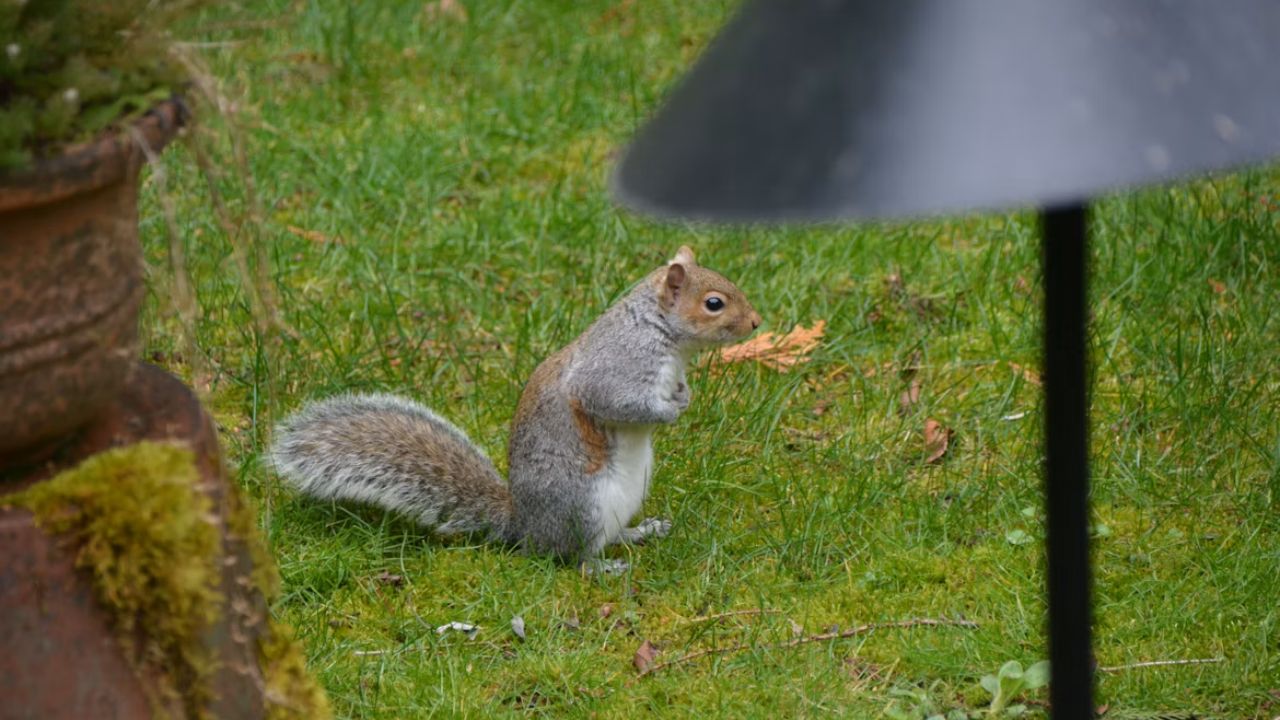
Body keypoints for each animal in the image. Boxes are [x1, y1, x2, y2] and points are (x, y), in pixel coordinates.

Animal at [270, 246, 761, 572]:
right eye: (713, 303)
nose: (756, 322)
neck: (659, 333)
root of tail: (524, 527)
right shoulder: (614, 368)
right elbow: (615, 403)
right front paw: (669, 413)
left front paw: (684, 395)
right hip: (581, 506)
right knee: (571, 557)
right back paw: (602, 566)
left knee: (607, 537)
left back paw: (640, 532)